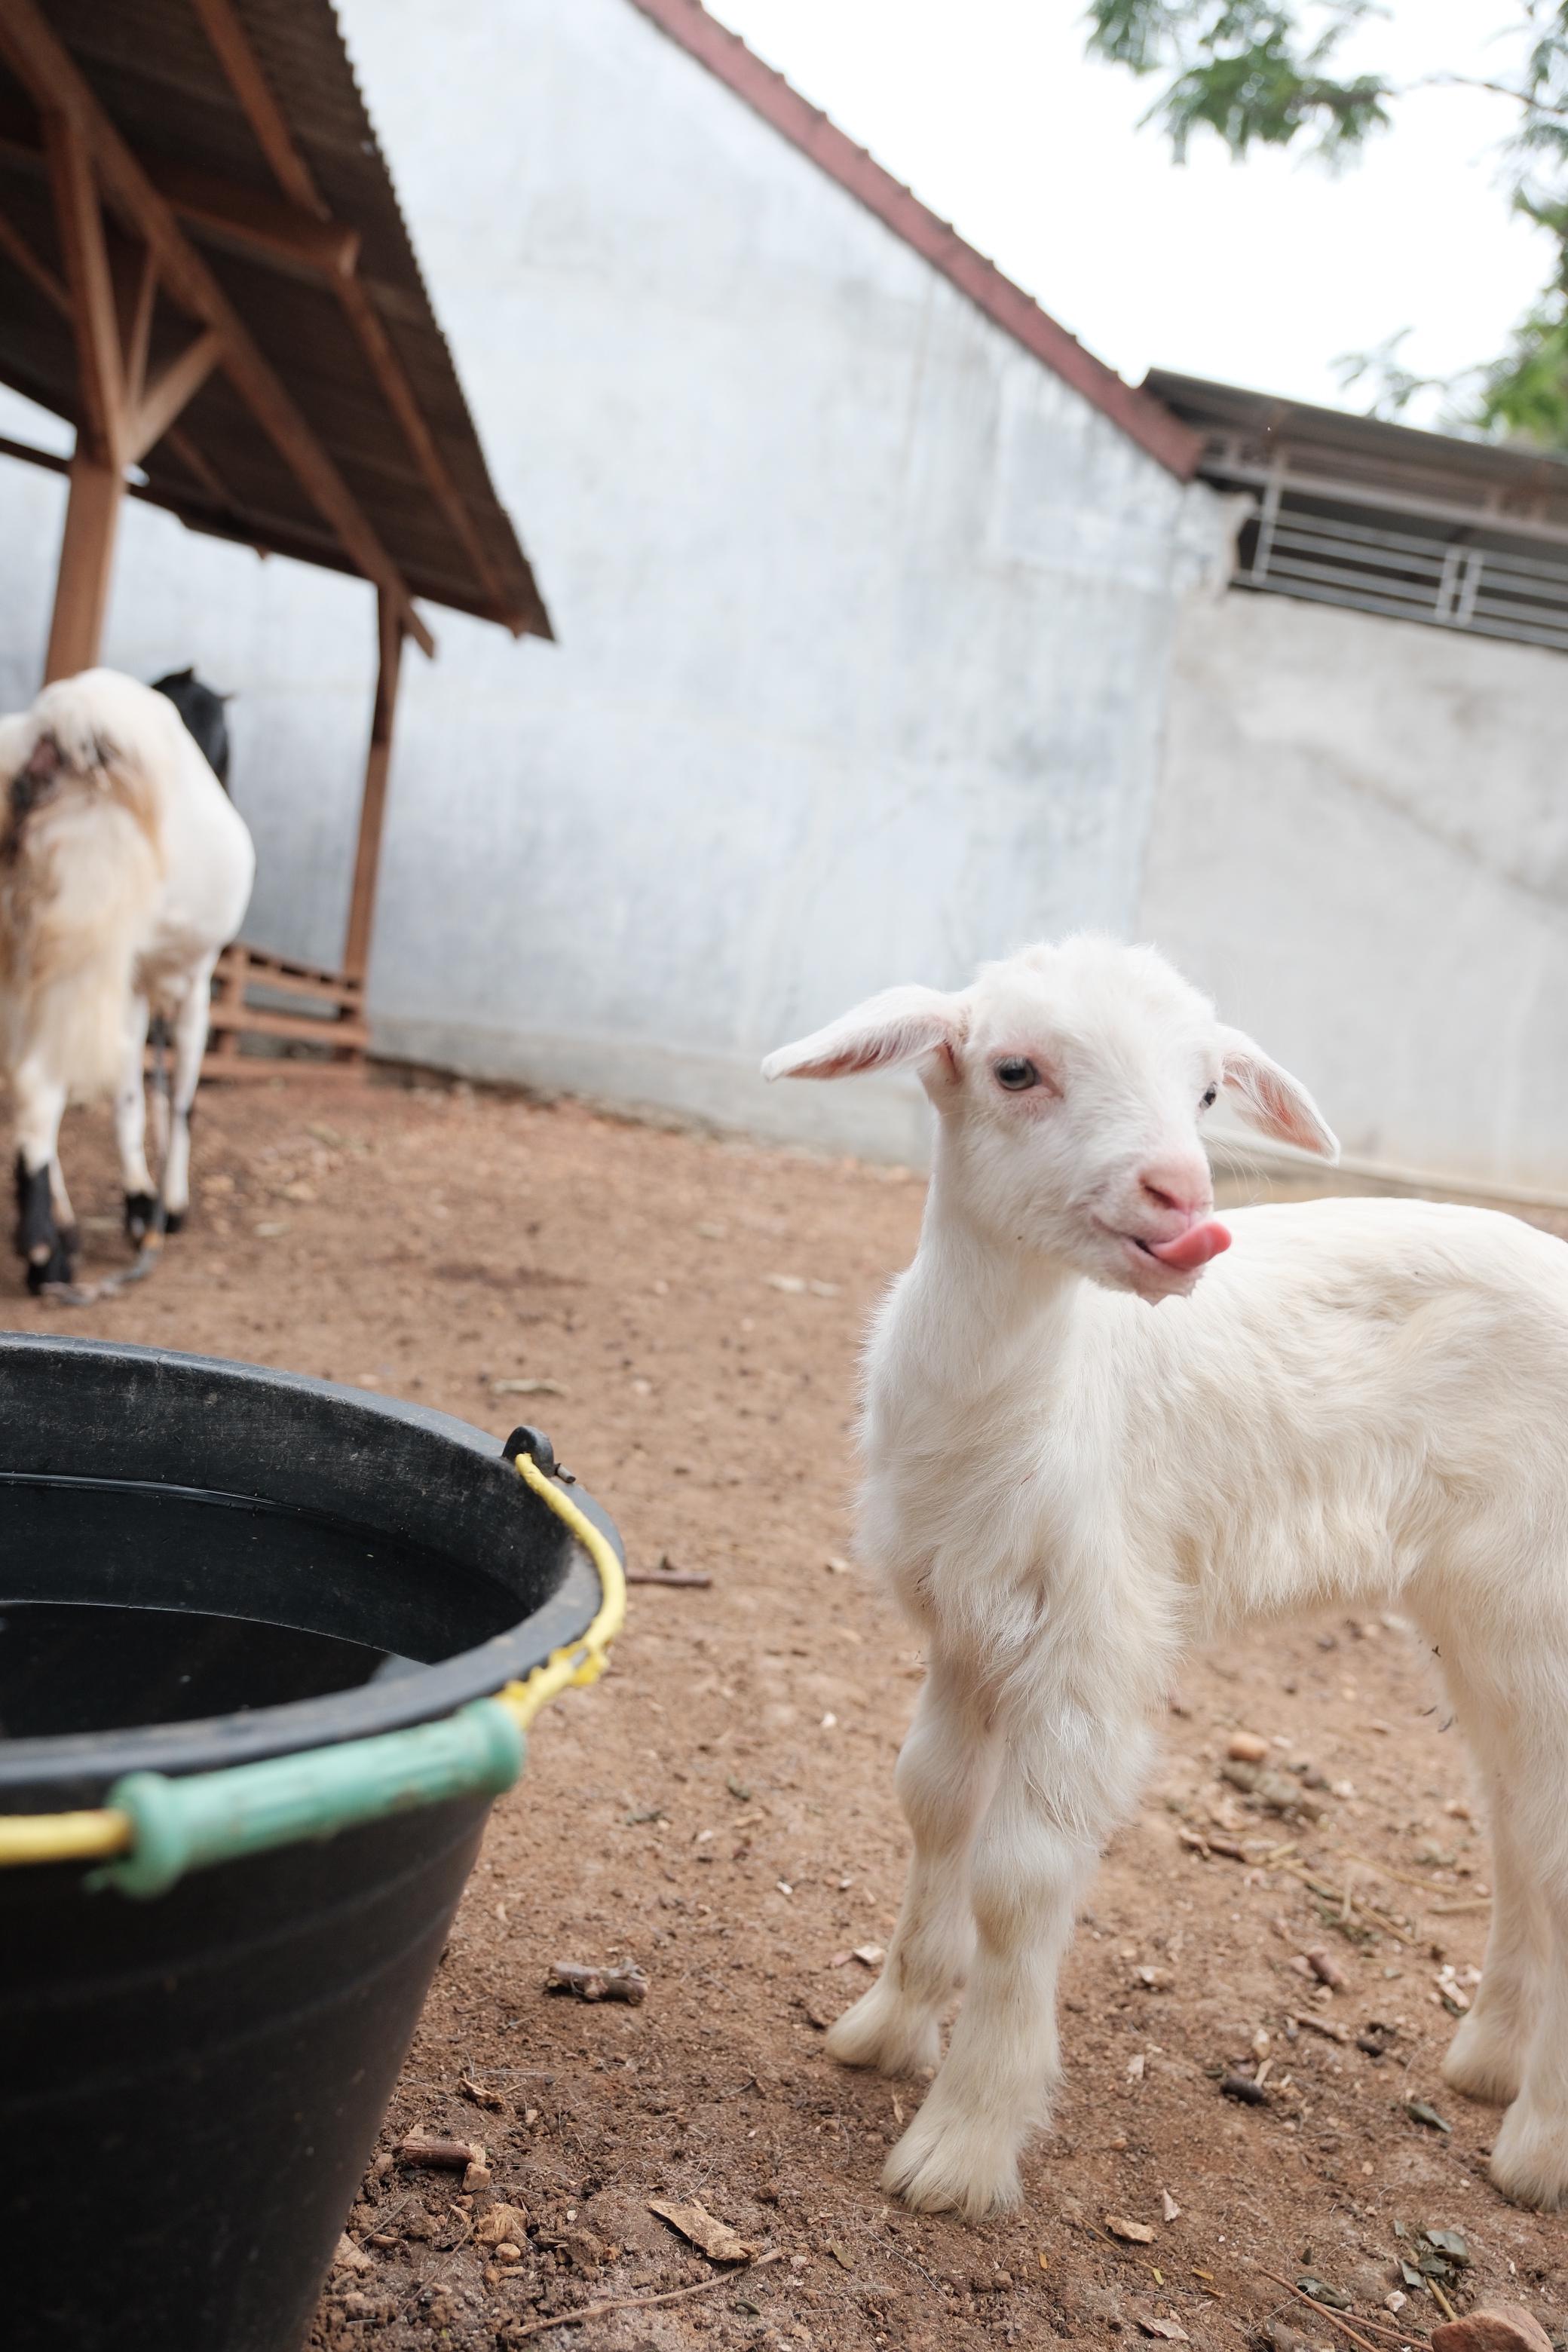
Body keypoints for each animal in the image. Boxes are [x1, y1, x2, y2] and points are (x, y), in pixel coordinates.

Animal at [0, 663, 255, 1298]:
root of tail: (58, 725)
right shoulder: (193, 980)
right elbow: (180, 1096)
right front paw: (166, 1206)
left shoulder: (132, 979)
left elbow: (129, 1092)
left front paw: (142, 1204)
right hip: (79, 943)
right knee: (37, 1083)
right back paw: (45, 1255)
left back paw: (62, 1233)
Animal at [766, 931, 1568, 2220]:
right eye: (1014, 1069)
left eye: (1205, 1096)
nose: (1185, 1202)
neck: (1024, 1401)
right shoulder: (965, 1624)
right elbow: (931, 1801)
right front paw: (885, 2027)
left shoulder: (1096, 1634)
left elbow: (1021, 1881)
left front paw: (964, 2144)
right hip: (1482, 1617)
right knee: (1519, 1832)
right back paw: (1490, 2063)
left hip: (1538, 1606)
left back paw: (1539, 2151)